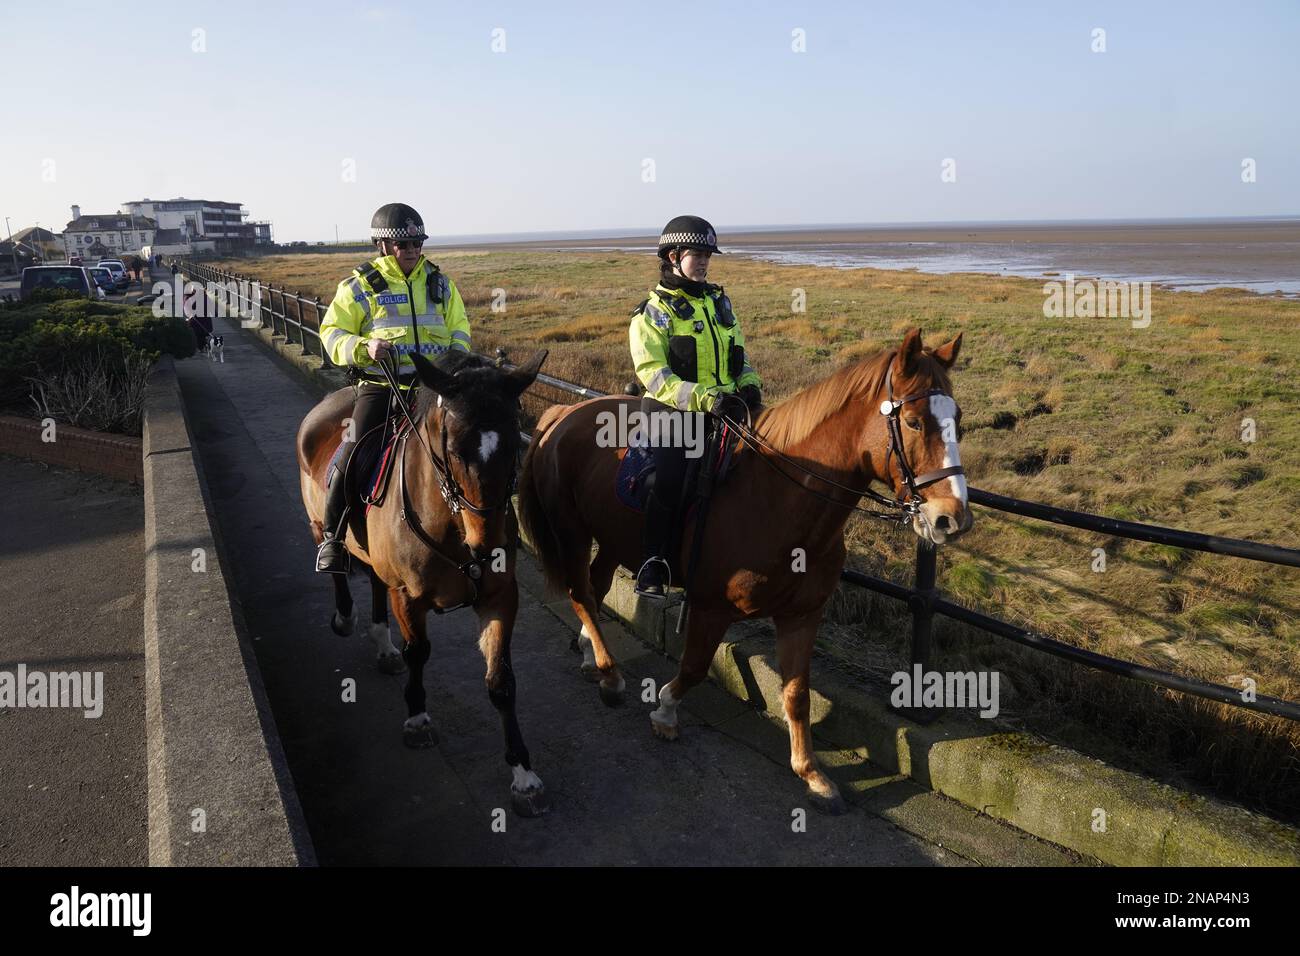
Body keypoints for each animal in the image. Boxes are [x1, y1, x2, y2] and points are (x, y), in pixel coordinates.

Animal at [297, 351, 551, 816]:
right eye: (452, 449)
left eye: (515, 444)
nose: (489, 545)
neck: (452, 524)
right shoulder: (408, 596)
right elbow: (418, 652)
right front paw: (416, 718)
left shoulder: (500, 598)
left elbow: (501, 682)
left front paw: (523, 773)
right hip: (317, 523)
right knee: (336, 560)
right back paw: (345, 613)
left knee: (374, 583)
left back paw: (382, 644)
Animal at [514, 329, 967, 816]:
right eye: (915, 423)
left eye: (957, 419)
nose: (952, 519)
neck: (776, 498)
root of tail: (564, 413)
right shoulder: (710, 608)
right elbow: (695, 666)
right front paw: (665, 711)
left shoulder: (802, 616)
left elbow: (797, 695)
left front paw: (811, 773)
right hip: (572, 532)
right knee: (580, 593)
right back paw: (611, 675)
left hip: (612, 538)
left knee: (595, 589)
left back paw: (589, 655)